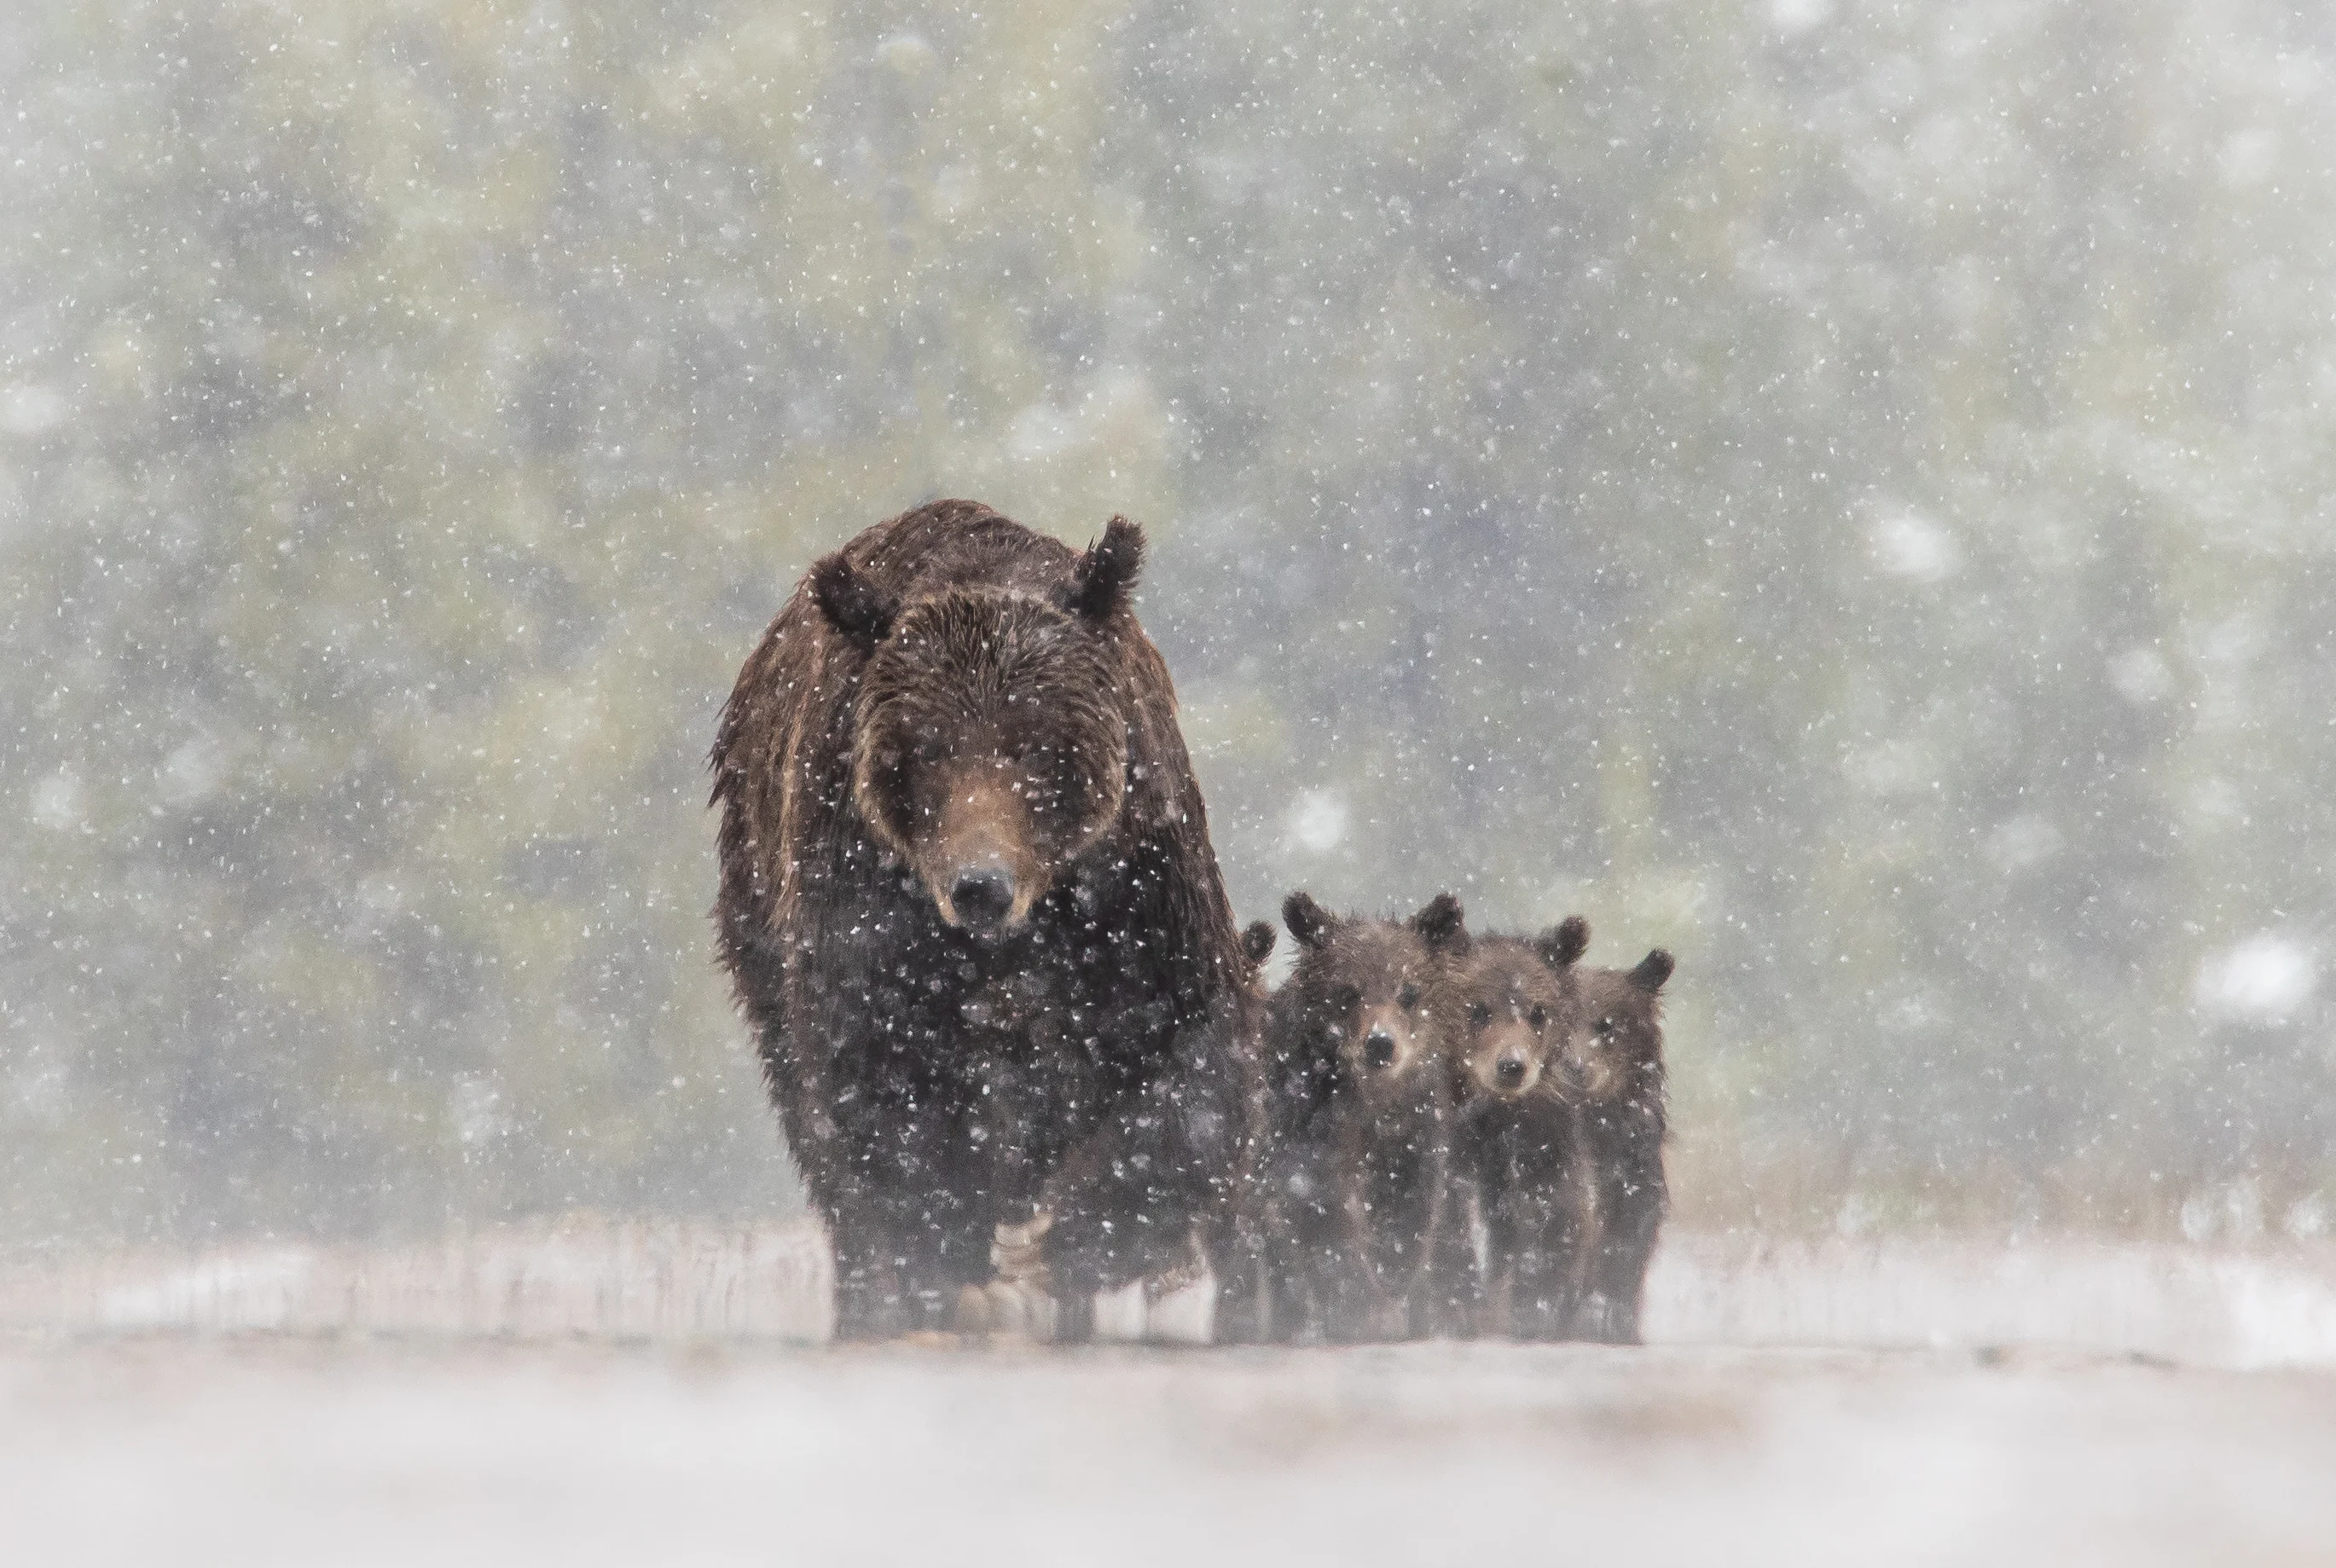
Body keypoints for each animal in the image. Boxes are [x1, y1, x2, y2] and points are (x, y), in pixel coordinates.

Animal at [705, 500, 1261, 1336]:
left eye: (1036, 745)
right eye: (925, 749)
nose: (980, 886)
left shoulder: (1141, 884)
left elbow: (1184, 1060)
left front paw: (1057, 1243)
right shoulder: (862, 901)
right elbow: (882, 1086)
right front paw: (949, 1265)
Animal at [1271, 888, 1467, 1345]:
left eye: (1408, 991)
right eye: (1347, 991)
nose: (1380, 1043)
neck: (1374, 1102)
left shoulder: (1417, 1129)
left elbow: (1411, 1213)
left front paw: (1393, 1287)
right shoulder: (1316, 1126)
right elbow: (1329, 1214)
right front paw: (1364, 1307)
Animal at [1429, 920, 1597, 1336]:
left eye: (1538, 1011)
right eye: (1478, 1009)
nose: (1511, 1065)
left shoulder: (1545, 1143)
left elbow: (1556, 1223)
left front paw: (1530, 1306)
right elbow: (1449, 1225)